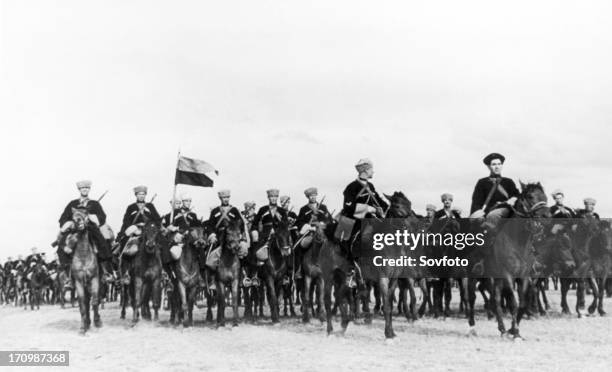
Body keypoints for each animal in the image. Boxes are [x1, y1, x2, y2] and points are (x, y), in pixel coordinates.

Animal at [65, 206, 101, 334]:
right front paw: (82, 328)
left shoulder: (94, 279)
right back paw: (87, 323)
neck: (84, 255)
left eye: (85, 213)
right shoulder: (79, 283)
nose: (77, 221)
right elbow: (82, 306)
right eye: (73, 216)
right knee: (86, 302)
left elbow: (95, 302)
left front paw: (98, 322)